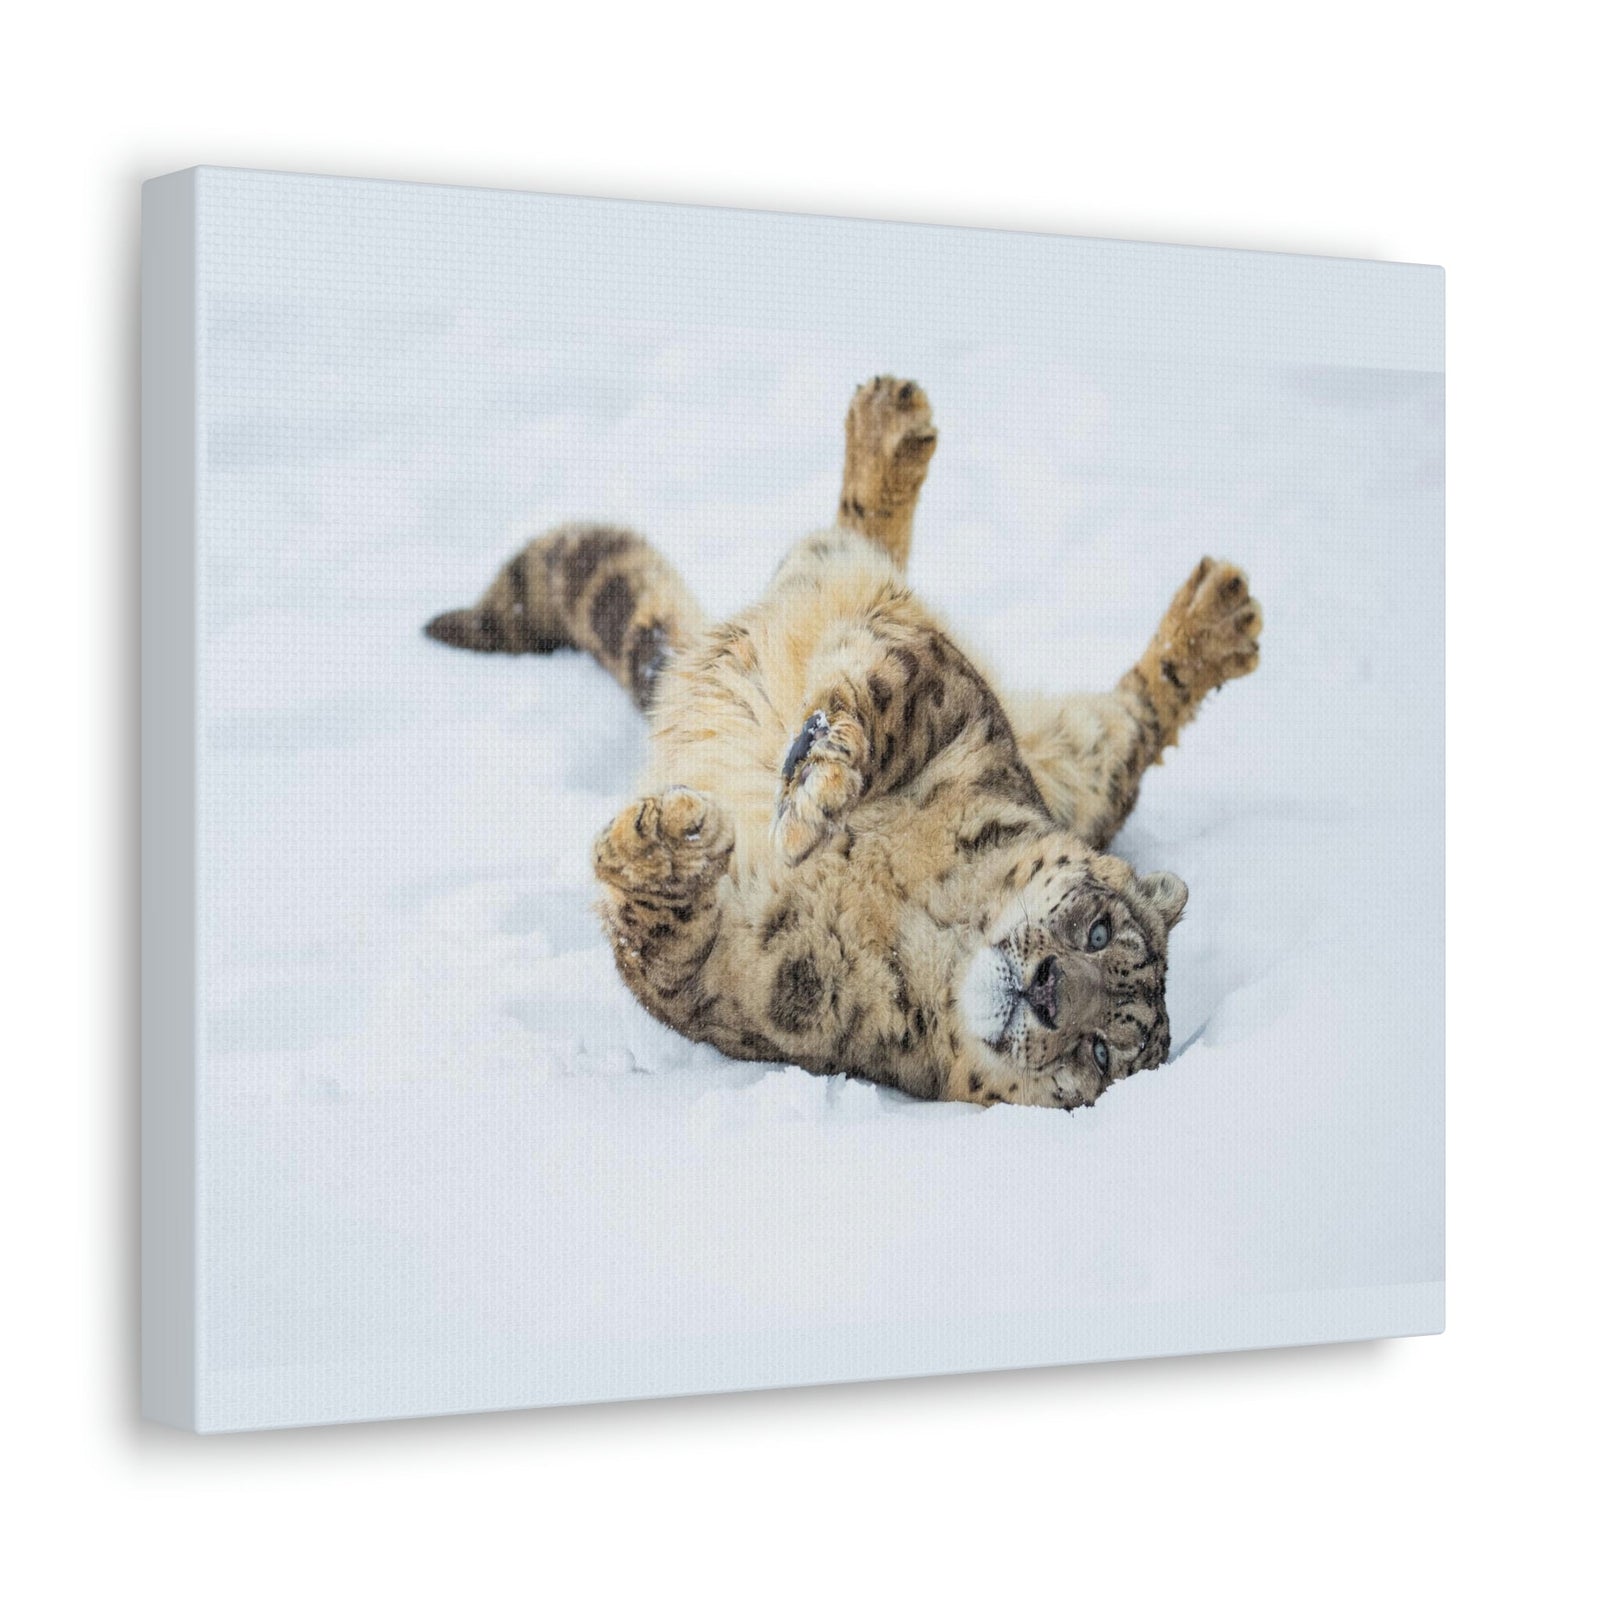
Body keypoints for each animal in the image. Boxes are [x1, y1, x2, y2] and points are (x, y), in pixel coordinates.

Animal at [425, 378, 1262, 1108]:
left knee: (1133, 728)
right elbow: (884, 697)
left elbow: (661, 947)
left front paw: (680, 840)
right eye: (1098, 929)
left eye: (1100, 1053)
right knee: (854, 544)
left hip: (1086, 767)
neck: (928, 919)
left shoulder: (742, 990)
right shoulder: (956, 702)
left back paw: (1222, 621)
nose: (1052, 990)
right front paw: (804, 797)